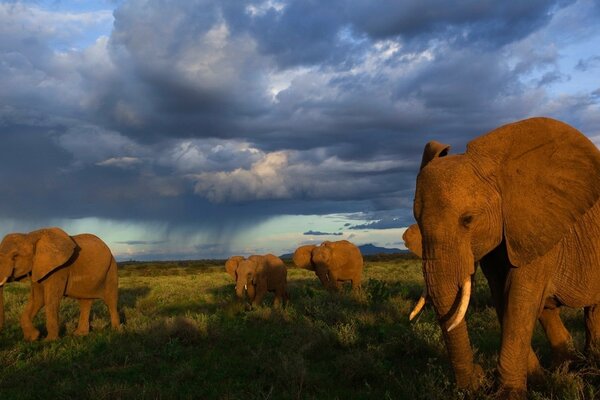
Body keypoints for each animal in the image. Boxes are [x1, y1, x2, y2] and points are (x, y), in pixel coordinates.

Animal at [412, 117, 600, 398]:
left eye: (468, 219)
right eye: (417, 222)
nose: (478, 377)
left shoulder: (538, 227)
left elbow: (519, 298)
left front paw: (509, 393)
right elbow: (504, 296)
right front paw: (536, 381)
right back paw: (568, 368)